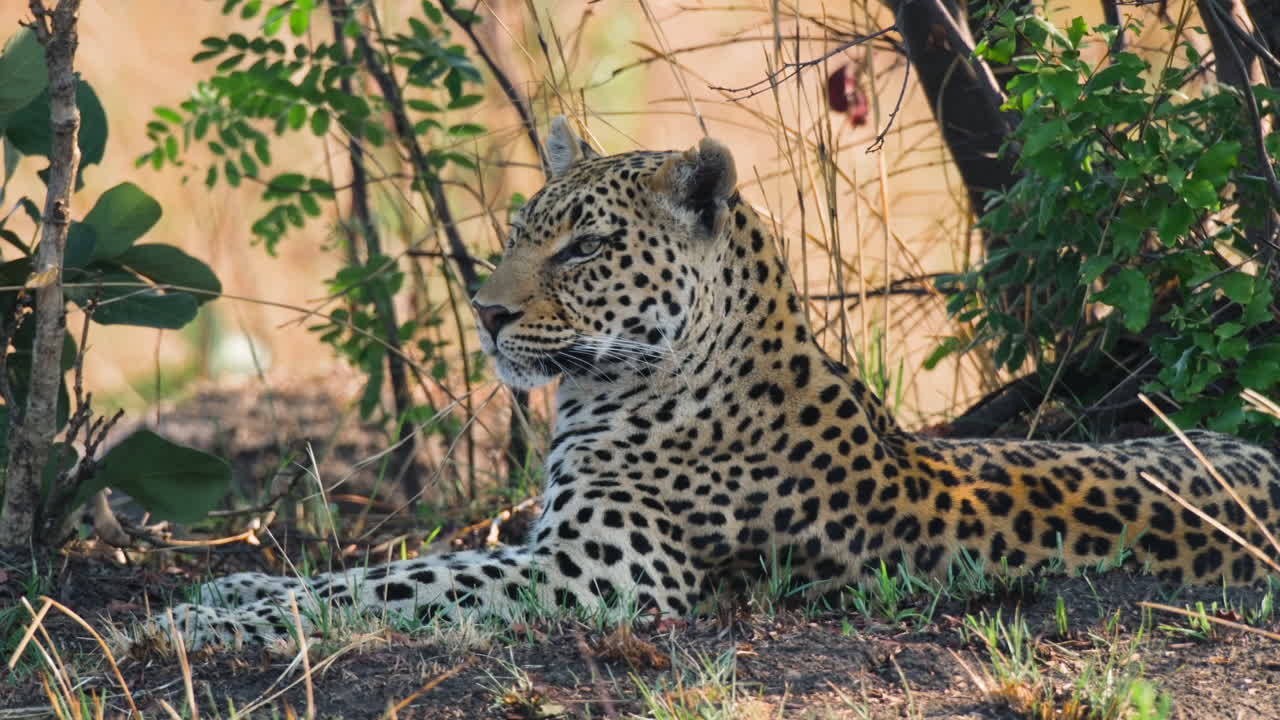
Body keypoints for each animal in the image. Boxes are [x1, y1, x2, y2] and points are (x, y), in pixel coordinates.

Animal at [159, 117, 1280, 649]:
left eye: (585, 249)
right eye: (523, 231)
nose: (484, 312)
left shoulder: (597, 575)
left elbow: (403, 580)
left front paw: (202, 623)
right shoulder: (551, 545)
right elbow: (401, 561)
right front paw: (236, 587)